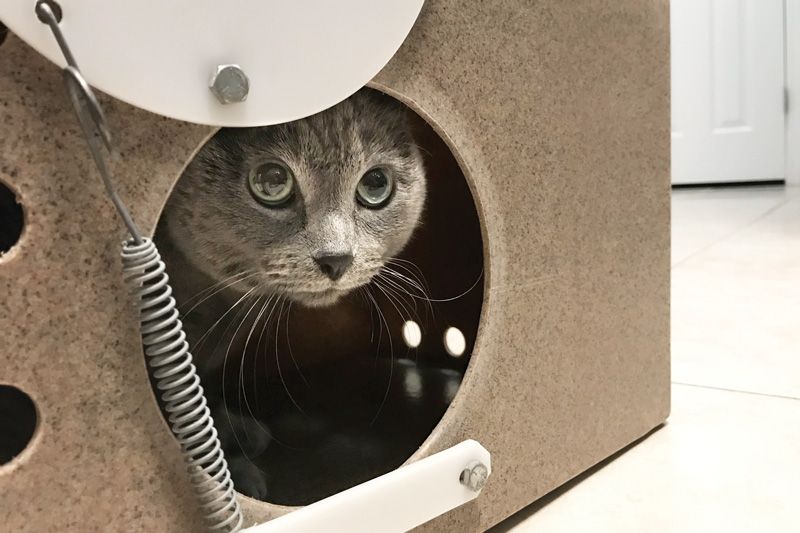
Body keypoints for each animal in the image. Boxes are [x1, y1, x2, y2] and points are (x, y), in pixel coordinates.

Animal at [159, 87, 428, 498]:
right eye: (271, 182)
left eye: (376, 184)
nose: (336, 258)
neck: (213, 303)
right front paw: (232, 473)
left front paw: (233, 432)